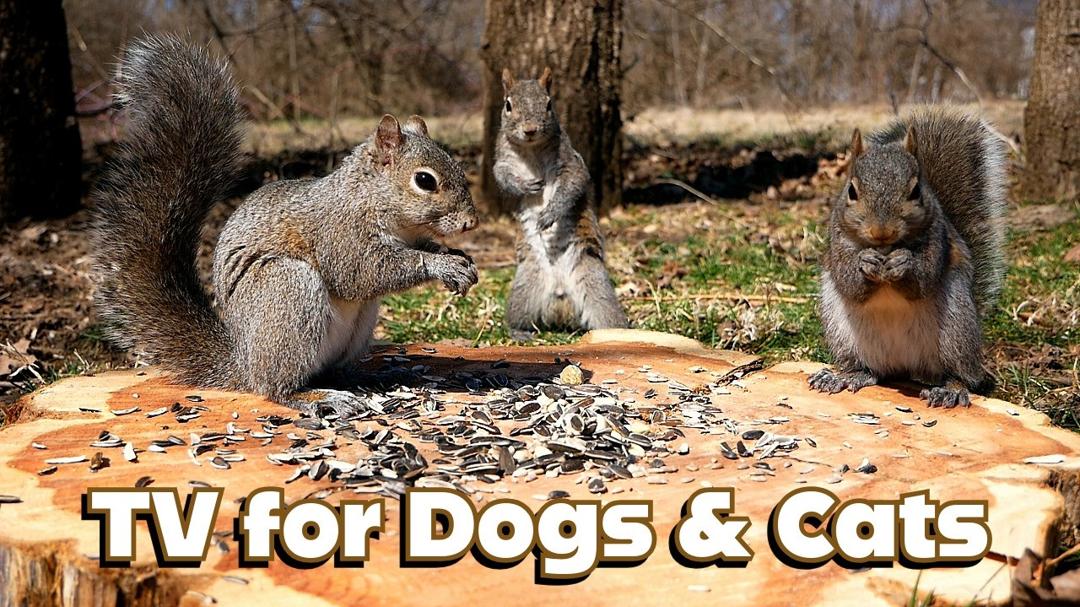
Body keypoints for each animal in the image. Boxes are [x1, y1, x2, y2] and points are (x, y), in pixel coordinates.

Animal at [92, 36, 479, 417]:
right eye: (425, 180)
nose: (470, 222)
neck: (372, 198)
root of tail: (243, 362)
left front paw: (457, 258)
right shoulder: (339, 232)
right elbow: (359, 273)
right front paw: (441, 264)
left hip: (358, 323)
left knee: (332, 370)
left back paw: (368, 375)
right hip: (287, 289)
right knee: (275, 386)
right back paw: (316, 397)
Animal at [494, 67, 628, 338]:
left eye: (549, 104)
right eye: (508, 105)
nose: (530, 129)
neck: (531, 149)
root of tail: (560, 296)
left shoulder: (569, 162)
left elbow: (572, 185)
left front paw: (549, 214)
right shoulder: (502, 160)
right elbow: (502, 177)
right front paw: (525, 186)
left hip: (595, 283)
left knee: (607, 312)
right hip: (525, 286)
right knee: (518, 316)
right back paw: (518, 332)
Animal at [809, 106, 1008, 408]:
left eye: (915, 191)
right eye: (852, 191)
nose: (882, 231)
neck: (886, 249)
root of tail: (904, 366)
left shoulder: (937, 240)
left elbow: (923, 281)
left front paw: (905, 263)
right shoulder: (837, 243)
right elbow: (849, 284)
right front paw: (865, 263)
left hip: (956, 330)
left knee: (961, 374)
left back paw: (951, 389)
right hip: (843, 333)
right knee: (870, 369)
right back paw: (845, 376)